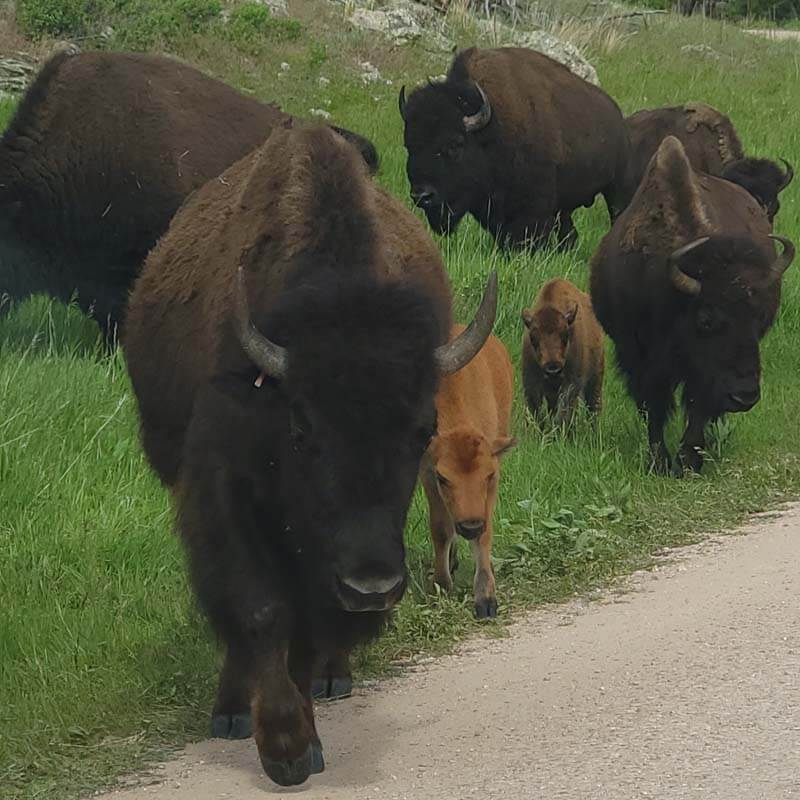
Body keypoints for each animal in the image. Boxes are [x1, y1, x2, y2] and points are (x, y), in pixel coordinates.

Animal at [123, 125, 497, 786]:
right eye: (301, 428)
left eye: (421, 430)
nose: (371, 586)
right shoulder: (224, 500)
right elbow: (259, 610)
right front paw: (285, 749)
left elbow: (302, 627)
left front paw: (304, 732)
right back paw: (233, 711)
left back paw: (331, 679)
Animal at [399, 46, 632, 250]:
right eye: (409, 144)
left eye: (455, 144)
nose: (422, 195)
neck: (493, 128)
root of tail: (617, 116)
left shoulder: (534, 207)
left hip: (616, 187)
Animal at [591, 135, 794, 475]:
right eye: (705, 320)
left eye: (758, 318)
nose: (745, 396)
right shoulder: (637, 356)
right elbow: (654, 406)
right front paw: (659, 461)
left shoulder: (703, 374)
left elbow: (698, 406)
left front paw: (688, 460)